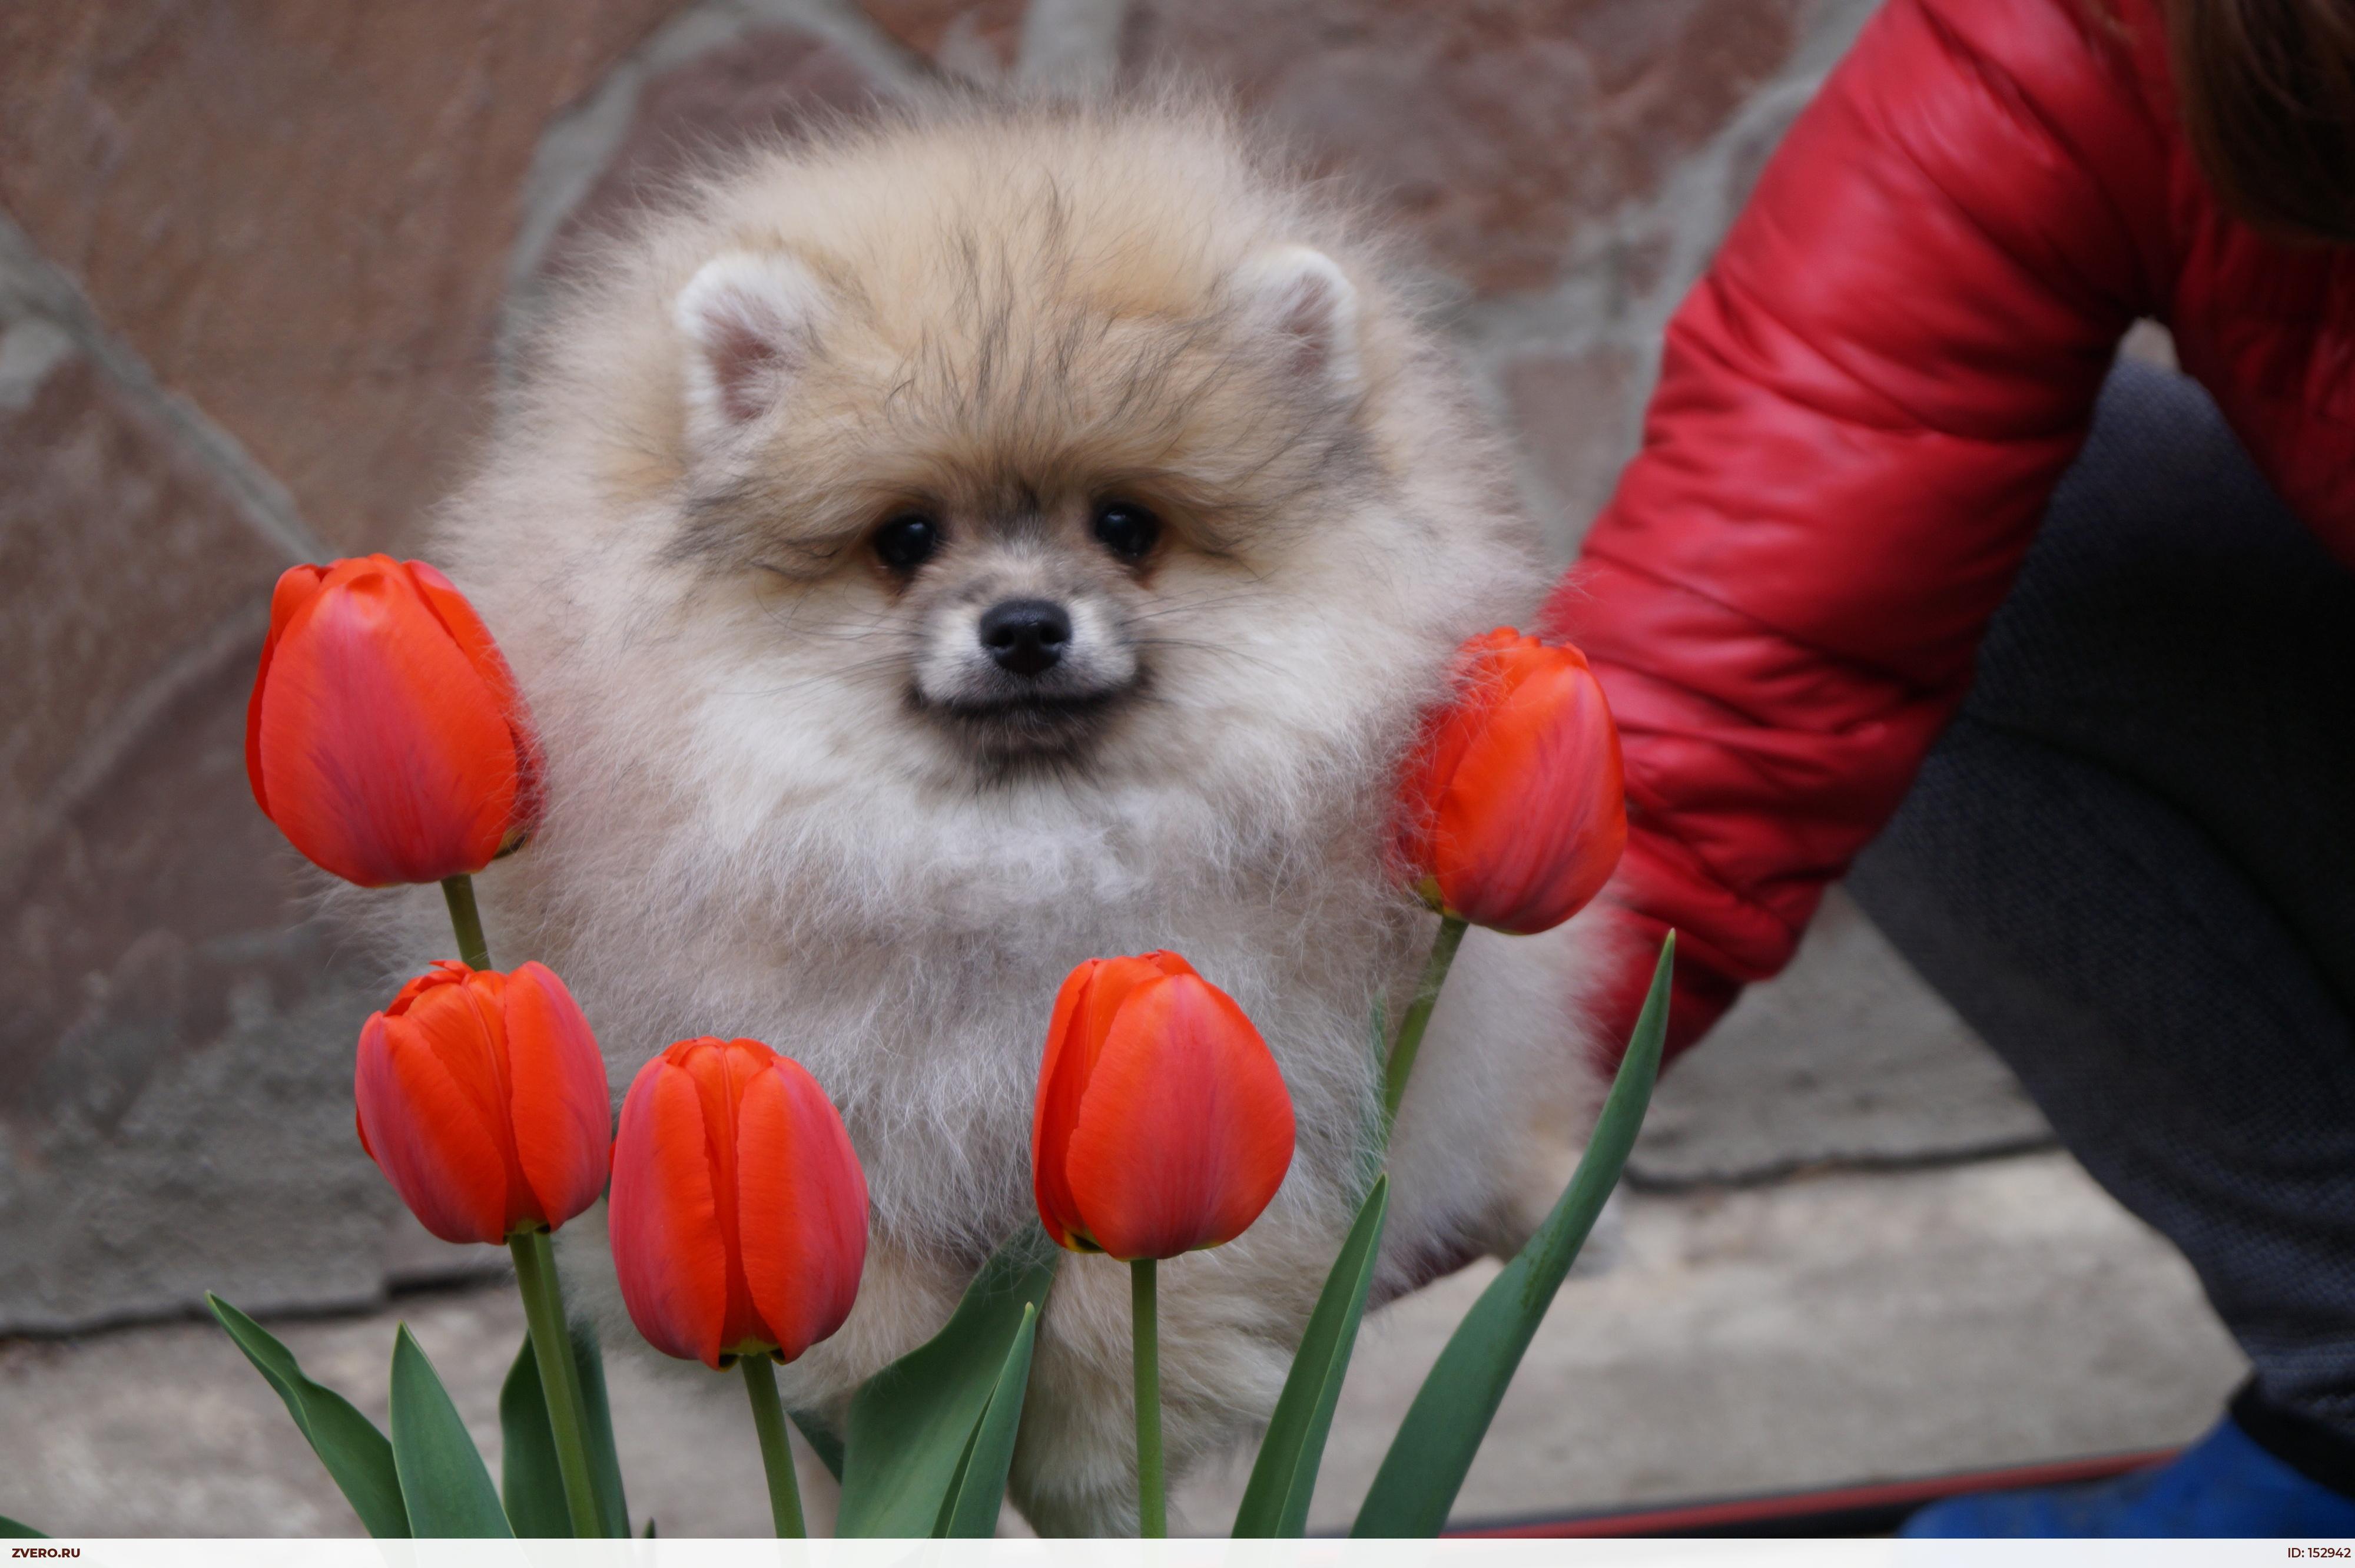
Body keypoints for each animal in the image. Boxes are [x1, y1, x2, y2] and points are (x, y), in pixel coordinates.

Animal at [419, 94, 1601, 1526]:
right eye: (906, 536)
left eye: (1127, 525)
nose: (1026, 622)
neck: (1012, 851)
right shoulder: (830, 1123)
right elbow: (877, 1343)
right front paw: (914, 1450)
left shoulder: (1268, 1098)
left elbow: (1125, 1328)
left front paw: (1092, 1473)